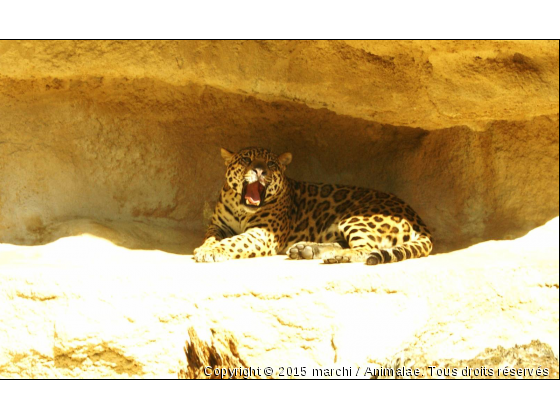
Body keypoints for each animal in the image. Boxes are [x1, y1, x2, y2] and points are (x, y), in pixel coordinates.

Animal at [192, 147, 434, 266]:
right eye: (245, 160)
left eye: (271, 164)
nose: (260, 171)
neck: (241, 209)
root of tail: (418, 220)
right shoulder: (218, 226)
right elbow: (212, 237)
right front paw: (207, 248)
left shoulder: (263, 233)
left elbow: (235, 242)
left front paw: (211, 252)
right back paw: (306, 249)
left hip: (356, 217)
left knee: (366, 248)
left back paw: (338, 257)